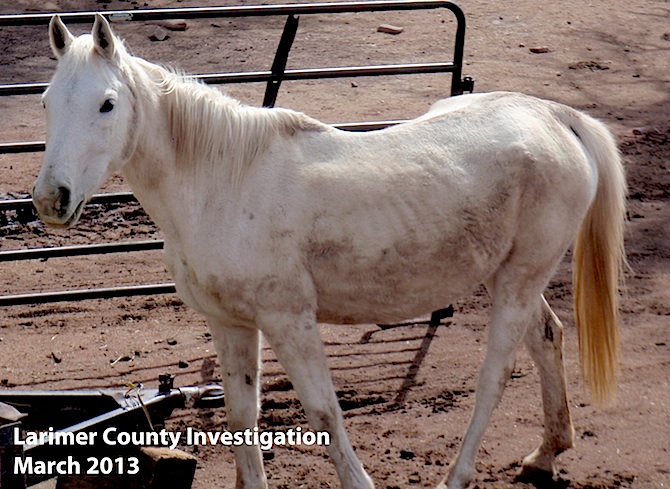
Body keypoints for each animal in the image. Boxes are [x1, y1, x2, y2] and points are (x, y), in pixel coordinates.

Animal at [32, 15, 632, 488]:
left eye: (107, 104)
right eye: (46, 101)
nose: (49, 198)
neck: (223, 183)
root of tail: (556, 117)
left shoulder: (289, 320)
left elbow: (324, 413)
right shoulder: (231, 324)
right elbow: (242, 416)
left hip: (517, 282)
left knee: (497, 375)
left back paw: (459, 475)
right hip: (507, 276)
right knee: (548, 339)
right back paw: (546, 454)